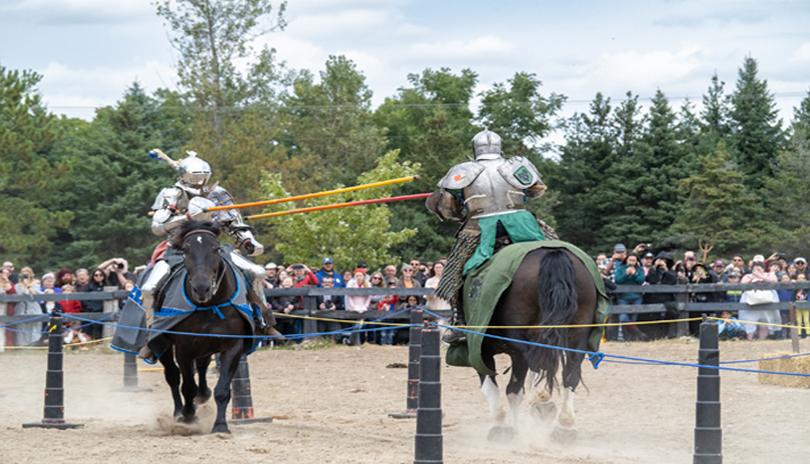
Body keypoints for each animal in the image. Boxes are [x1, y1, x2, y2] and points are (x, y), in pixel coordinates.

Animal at [159, 221, 254, 432]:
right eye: (185, 250)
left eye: (216, 249)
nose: (201, 288)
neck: (210, 305)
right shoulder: (184, 348)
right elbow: (187, 386)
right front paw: (188, 416)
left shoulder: (232, 347)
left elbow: (222, 390)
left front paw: (220, 426)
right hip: (165, 346)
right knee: (173, 376)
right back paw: (179, 413)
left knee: (201, 368)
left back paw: (202, 395)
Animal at [474, 246, 592, 442]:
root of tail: (553, 254)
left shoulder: (479, 349)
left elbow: (494, 386)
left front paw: (501, 426)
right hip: (577, 335)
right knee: (570, 373)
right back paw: (564, 424)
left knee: (535, 362)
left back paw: (542, 401)